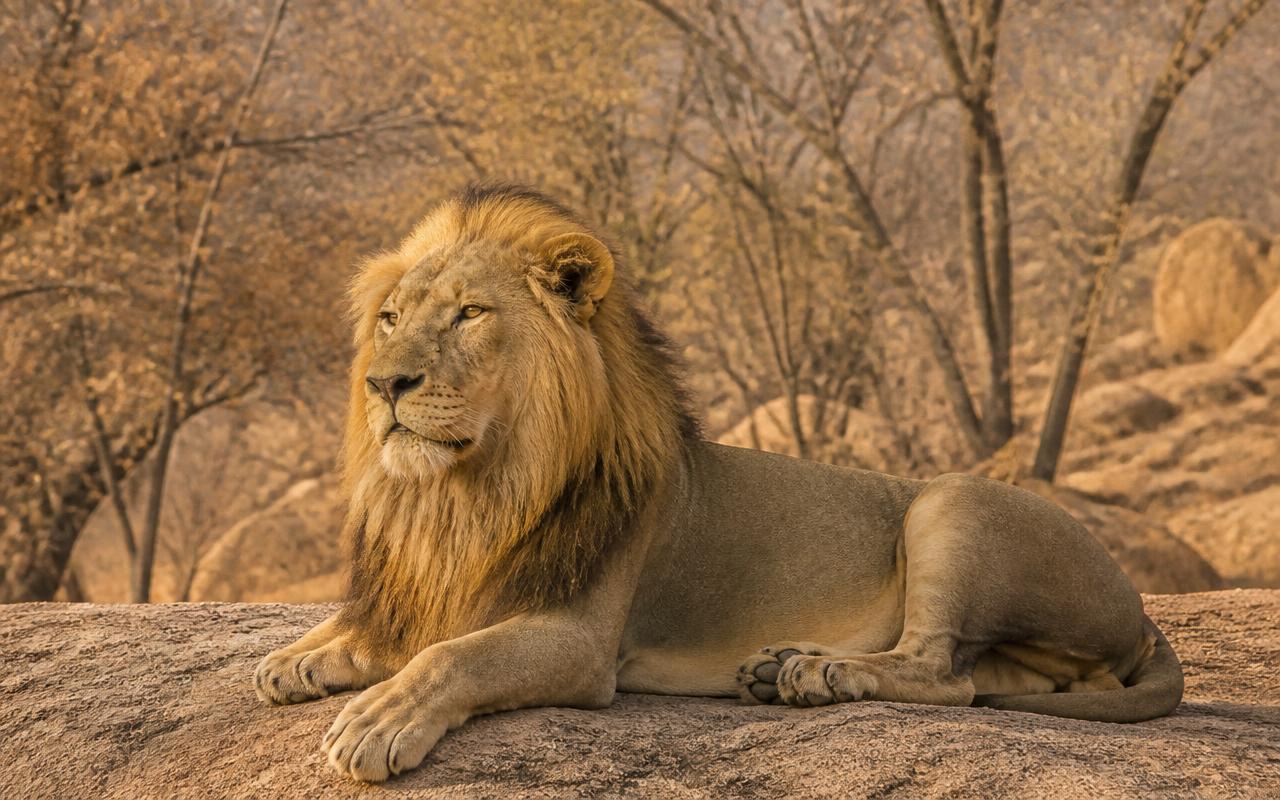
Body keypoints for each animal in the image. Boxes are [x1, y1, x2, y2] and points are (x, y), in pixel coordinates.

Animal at [255, 184, 1183, 782]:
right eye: (388, 319)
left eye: (469, 314)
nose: (383, 383)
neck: (470, 492)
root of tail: (1143, 616)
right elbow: (376, 633)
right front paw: (298, 660)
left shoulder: (581, 640)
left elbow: (454, 655)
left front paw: (377, 722)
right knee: (998, 677)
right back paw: (784, 668)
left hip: (951, 502)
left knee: (944, 672)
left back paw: (816, 675)